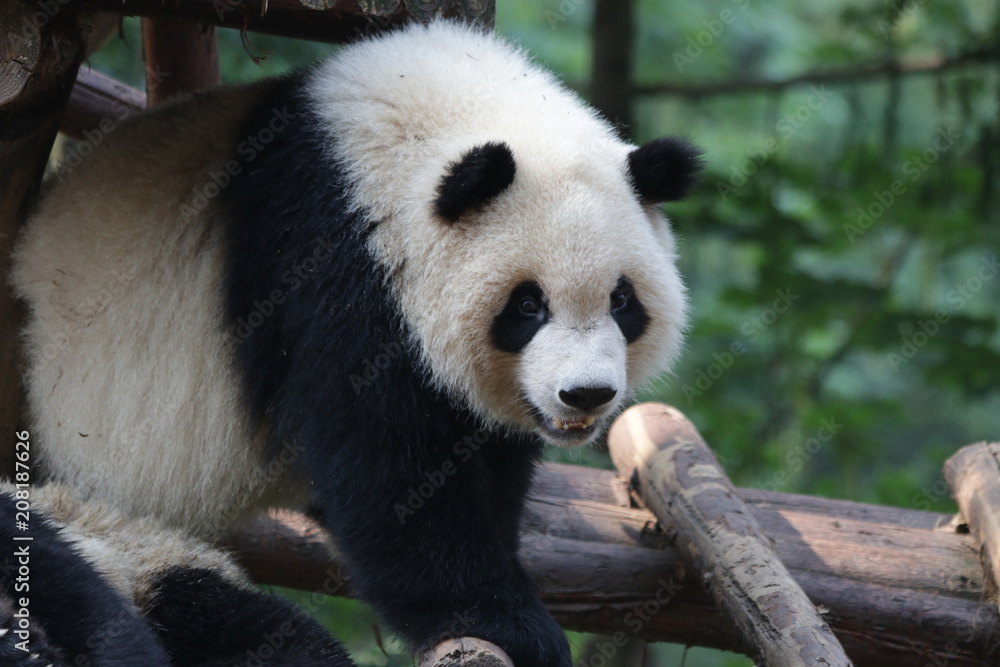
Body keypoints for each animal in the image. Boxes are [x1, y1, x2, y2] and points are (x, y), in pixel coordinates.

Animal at [10, 19, 701, 667]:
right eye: (528, 305)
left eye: (622, 301)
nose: (585, 395)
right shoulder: (331, 269)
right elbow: (388, 468)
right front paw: (508, 623)